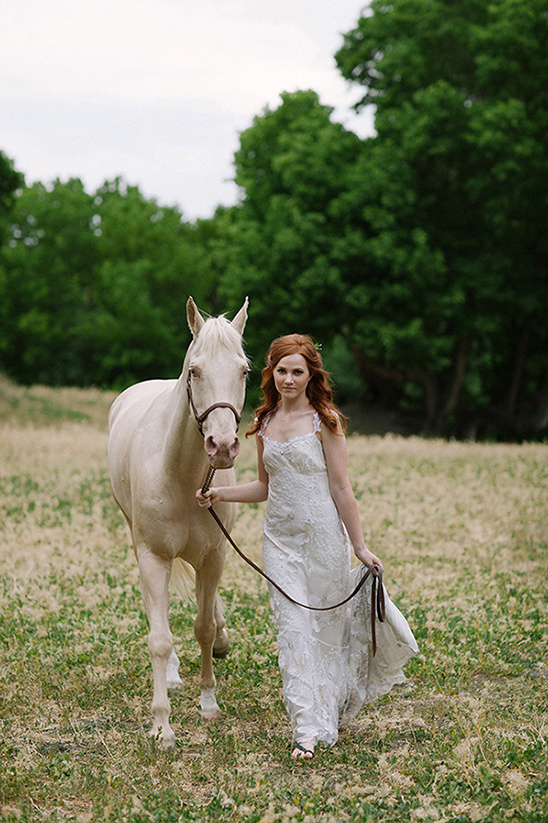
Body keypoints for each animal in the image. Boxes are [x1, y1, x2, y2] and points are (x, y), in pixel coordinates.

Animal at [107, 296, 249, 748]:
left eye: (244, 370)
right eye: (195, 371)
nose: (222, 446)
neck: (184, 477)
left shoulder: (215, 555)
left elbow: (202, 628)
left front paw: (209, 703)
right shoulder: (153, 557)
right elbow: (160, 638)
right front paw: (162, 726)